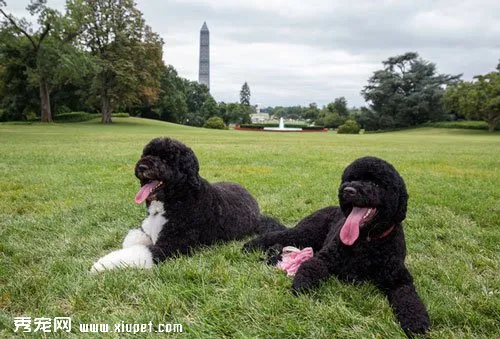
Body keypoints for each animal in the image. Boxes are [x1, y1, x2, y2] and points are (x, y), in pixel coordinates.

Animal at [91, 137, 284, 272]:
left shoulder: (173, 245)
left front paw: (101, 264)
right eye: (146, 154)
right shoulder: (147, 230)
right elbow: (132, 240)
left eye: (166, 159)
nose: (142, 166)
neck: (176, 199)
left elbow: (140, 251)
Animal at [243, 157, 430, 338]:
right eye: (351, 179)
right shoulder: (324, 259)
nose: (348, 190)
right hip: (304, 234)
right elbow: (310, 267)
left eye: (376, 184)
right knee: (278, 235)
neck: (366, 241)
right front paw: (301, 287)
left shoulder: (399, 278)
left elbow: (409, 299)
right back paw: (249, 246)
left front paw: (416, 322)